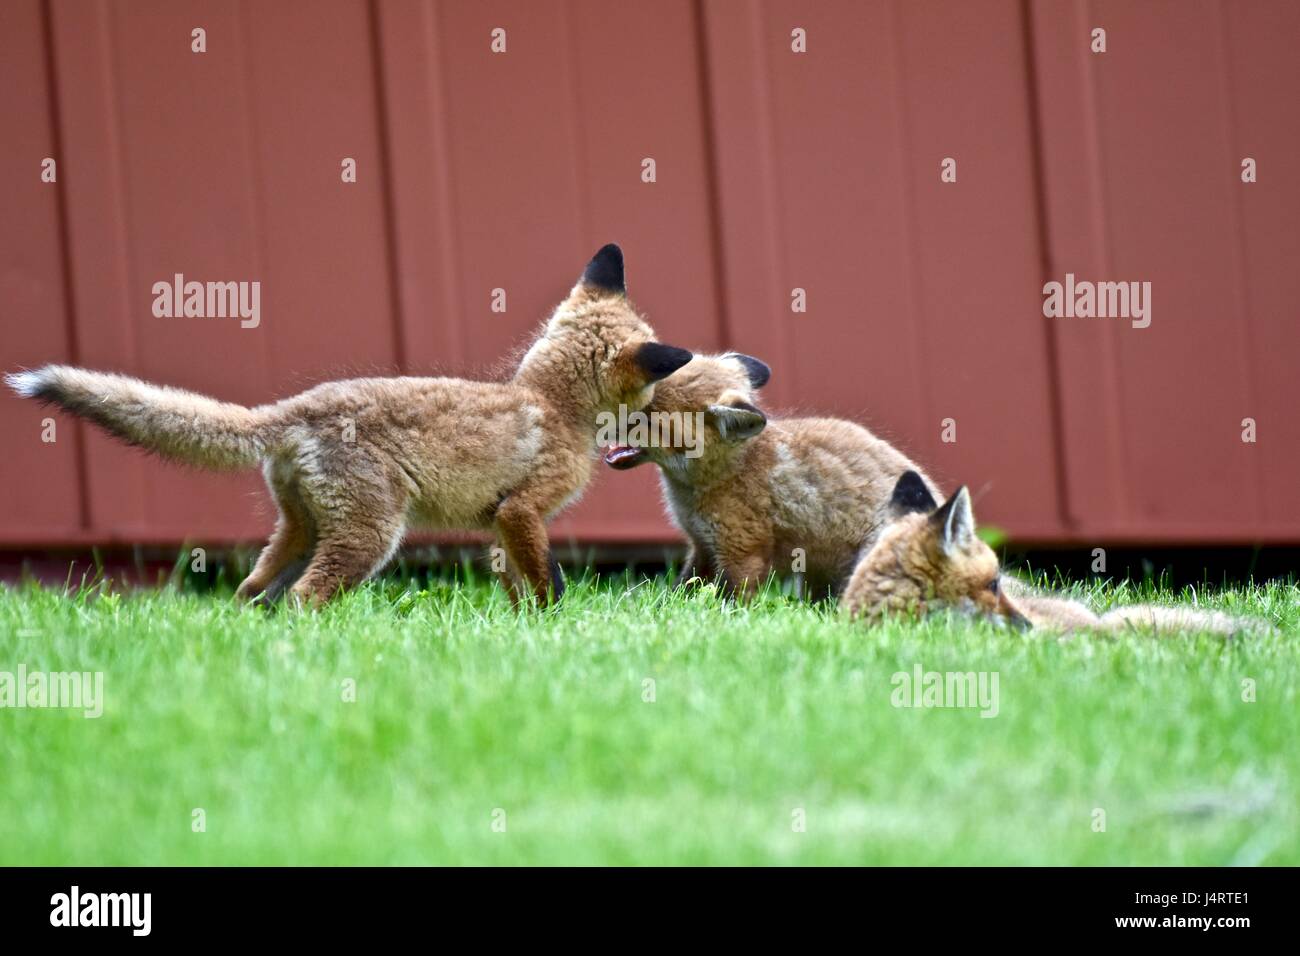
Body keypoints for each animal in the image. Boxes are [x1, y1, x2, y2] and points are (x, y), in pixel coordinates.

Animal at [6, 244, 694, 607]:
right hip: (369, 537)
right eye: (652, 385)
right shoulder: (524, 509)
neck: (548, 404)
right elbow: (546, 580)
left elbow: (513, 585)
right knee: (305, 598)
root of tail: (293, 408)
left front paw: (522, 622)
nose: (662, 407)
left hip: (300, 531)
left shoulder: (499, 521)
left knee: (251, 591)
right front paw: (554, 618)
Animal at [603, 353, 942, 599]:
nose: (600, 415)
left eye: (649, 416)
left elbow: (734, 602)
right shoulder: (702, 546)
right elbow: (677, 592)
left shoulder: (742, 552)